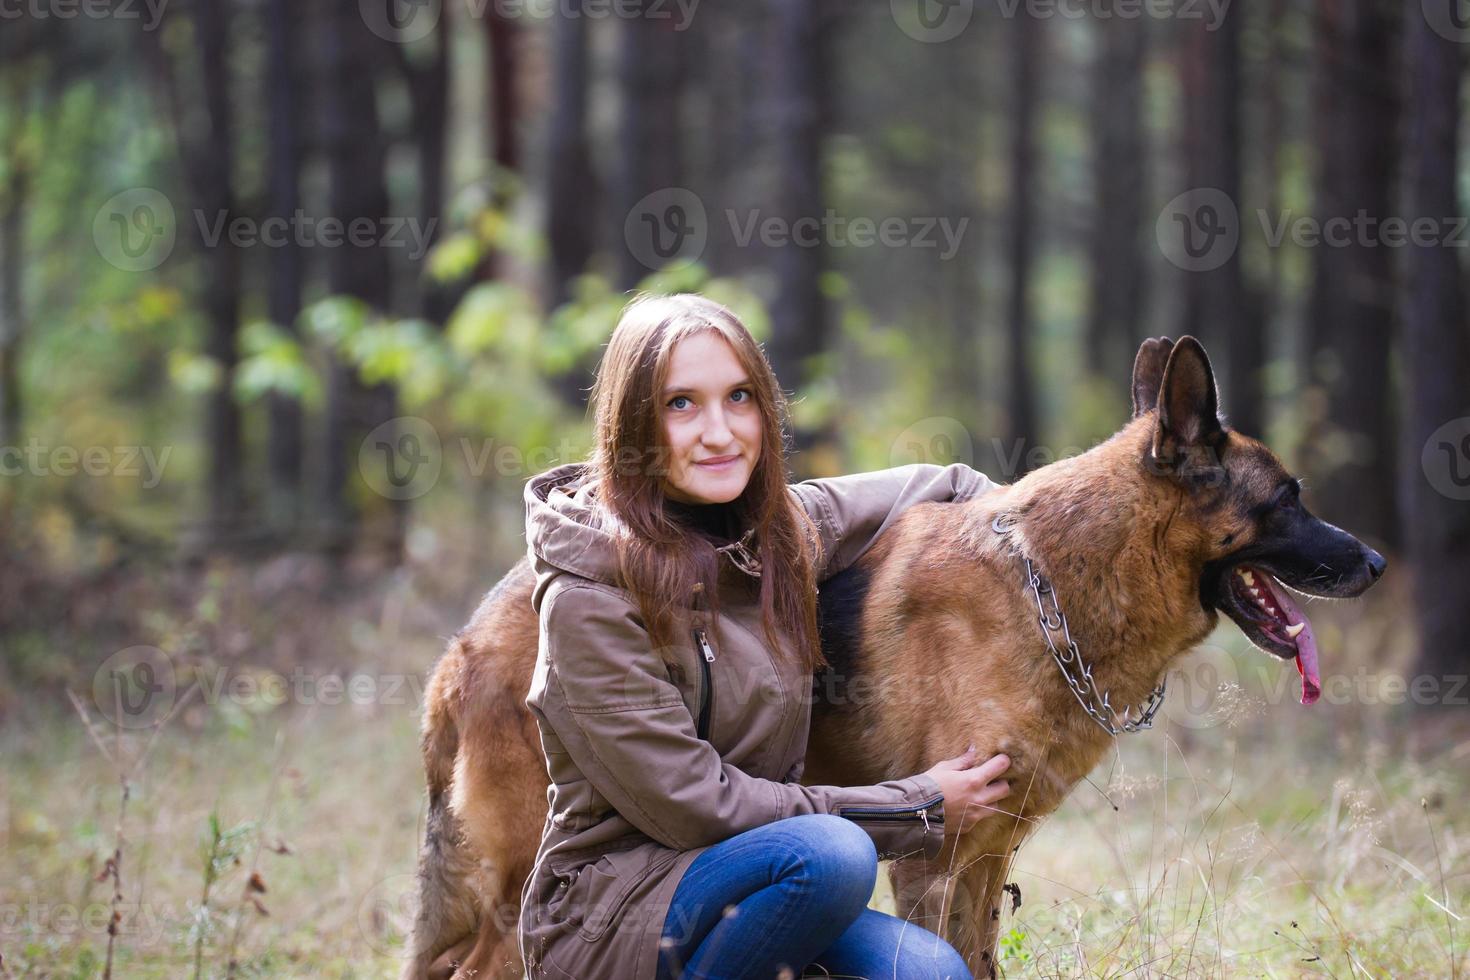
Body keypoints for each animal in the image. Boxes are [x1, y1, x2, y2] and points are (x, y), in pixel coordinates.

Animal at [405, 337, 1387, 980]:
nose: (1376, 563)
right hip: (522, 888)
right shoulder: (934, 860)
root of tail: (460, 651)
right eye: (1288, 500)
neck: (1051, 588)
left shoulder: (987, 858)